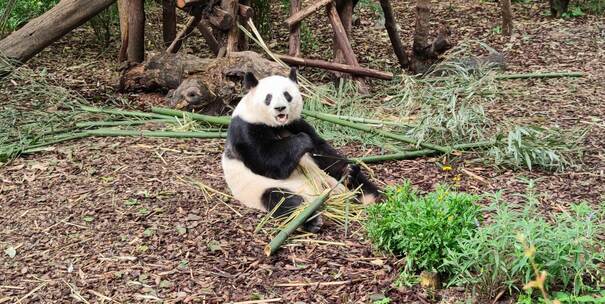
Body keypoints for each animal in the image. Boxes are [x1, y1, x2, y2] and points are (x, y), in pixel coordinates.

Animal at [222, 67, 380, 232]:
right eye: (268, 98)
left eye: (287, 95)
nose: (280, 108)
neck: (277, 126)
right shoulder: (245, 129)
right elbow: (266, 161)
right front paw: (303, 141)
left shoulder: (295, 123)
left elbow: (323, 152)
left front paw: (346, 170)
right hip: (262, 188)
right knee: (283, 200)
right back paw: (312, 220)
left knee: (359, 181)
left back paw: (361, 187)